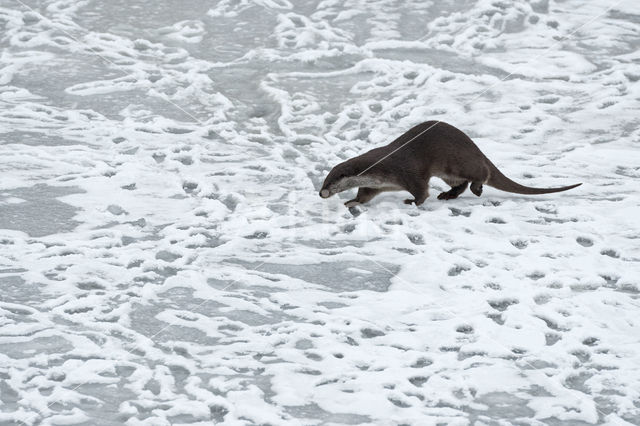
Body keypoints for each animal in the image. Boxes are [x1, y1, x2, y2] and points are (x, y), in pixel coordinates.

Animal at [318, 120, 580, 207]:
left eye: (330, 182)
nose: (321, 193)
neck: (382, 168)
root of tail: (477, 149)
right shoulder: (375, 184)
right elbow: (365, 194)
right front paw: (352, 202)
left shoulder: (408, 172)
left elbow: (421, 191)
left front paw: (413, 202)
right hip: (449, 172)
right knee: (460, 183)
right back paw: (449, 195)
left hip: (458, 162)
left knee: (481, 173)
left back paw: (477, 188)